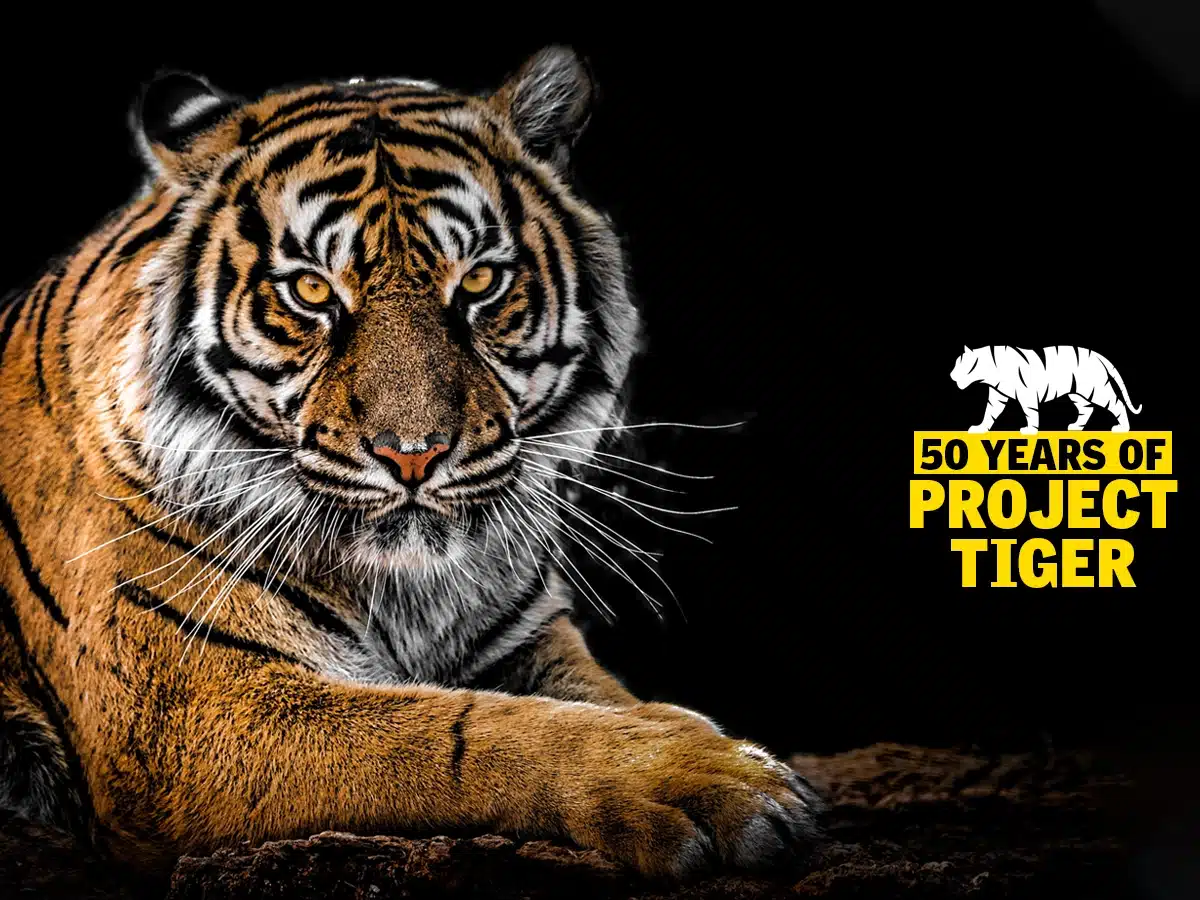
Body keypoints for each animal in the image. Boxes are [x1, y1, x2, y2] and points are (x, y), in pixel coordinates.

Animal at [0, 47, 822, 878]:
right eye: (310, 290)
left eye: (482, 281)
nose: (413, 455)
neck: (410, 593)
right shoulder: (189, 713)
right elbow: (464, 732)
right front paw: (706, 778)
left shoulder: (526, 638)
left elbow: (605, 699)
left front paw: (720, 750)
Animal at [950, 345, 1142, 434]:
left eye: (959, 364)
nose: (951, 376)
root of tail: (1097, 355)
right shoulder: (997, 397)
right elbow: (989, 414)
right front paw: (980, 428)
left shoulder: (1027, 395)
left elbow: (1031, 413)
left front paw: (1030, 431)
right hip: (1077, 394)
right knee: (1087, 409)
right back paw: (1075, 427)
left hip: (1097, 389)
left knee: (1117, 404)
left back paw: (1123, 428)